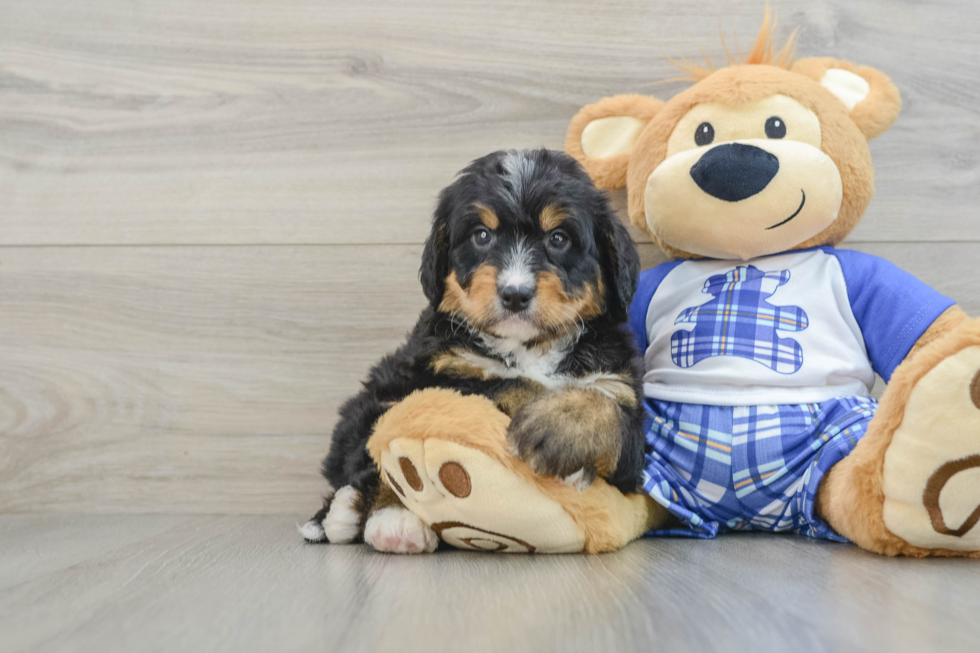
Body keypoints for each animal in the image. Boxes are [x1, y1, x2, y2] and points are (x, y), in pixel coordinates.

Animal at [302, 148, 648, 552]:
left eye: (558, 238)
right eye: (481, 235)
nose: (515, 294)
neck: (529, 345)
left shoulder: (622, 396)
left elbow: (607, 411)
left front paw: (560, 426)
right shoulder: (443, 370)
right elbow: (505, 382)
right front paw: (544, 413)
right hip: (378, 397)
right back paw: (381, 520)